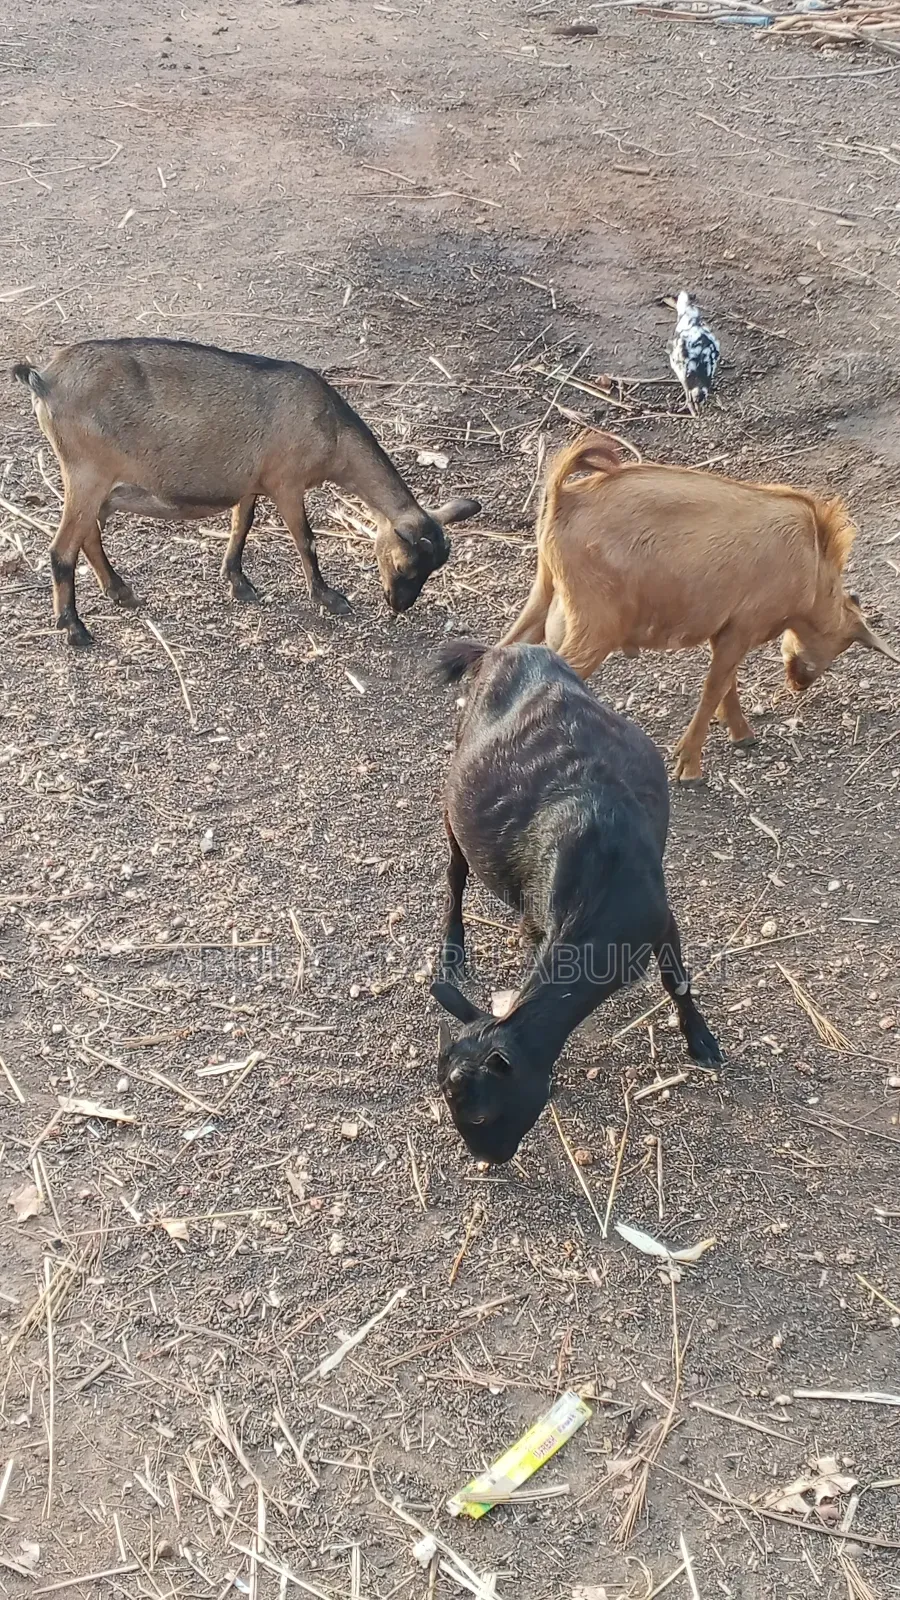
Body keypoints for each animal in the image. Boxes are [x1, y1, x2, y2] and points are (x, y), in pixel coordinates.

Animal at [12, 338, 479, 647]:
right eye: (404, 565)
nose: (398, 604)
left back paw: (120, 591)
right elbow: (306, 540)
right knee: (62, 548)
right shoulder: (286, 484)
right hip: (86, 471)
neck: (329, 431)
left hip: (94, 481)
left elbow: (243, 524)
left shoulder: (251, 482)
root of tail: (44, 379)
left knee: (88, 534)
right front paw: (328, 597)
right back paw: (74, 628)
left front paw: (238, 581)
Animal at [430, 638, 722, 1164]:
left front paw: (703, 1042)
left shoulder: (660, 917)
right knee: (455, 875)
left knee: (455, 872)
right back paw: (452, 948)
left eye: (479, 1114)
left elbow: (678, 981)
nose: (488, 1160)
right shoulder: (537, 926)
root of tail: (505, 650)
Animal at [501, 433, 900, 781]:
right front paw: (689, 766)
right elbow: (713, 688)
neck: (813, 560)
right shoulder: (743, 627)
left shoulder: (726, 628)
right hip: (594, 625)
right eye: (836, 648)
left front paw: (741, 733)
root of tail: (563, 497)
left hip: (545, 594)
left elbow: (727, 684)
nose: (799, 684)